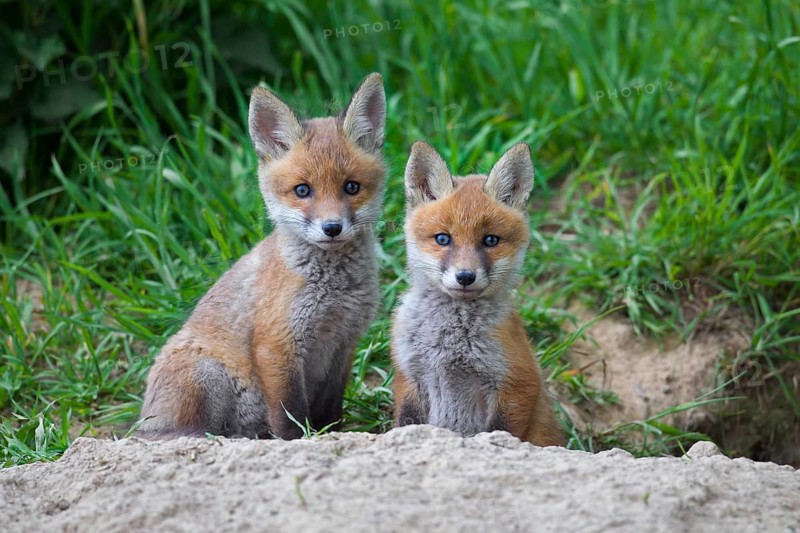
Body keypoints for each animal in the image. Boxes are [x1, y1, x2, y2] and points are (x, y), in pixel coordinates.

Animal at [136, 73, 387, 440]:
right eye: (303, 190)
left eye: (351, 187)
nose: (332, 228)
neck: (335, 294)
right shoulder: (277, 347)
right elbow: (289, 417)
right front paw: (298, 441)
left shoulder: (343, 346)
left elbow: (331, 413)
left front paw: (333, 434)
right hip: (207, 375)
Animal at [391, 141, 564, 446]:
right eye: (443, 238)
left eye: (490, 240)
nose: (465, 276)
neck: (449, 341)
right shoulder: (410, 375)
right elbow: (406, 424)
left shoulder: (517, 381)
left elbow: (501, 432)